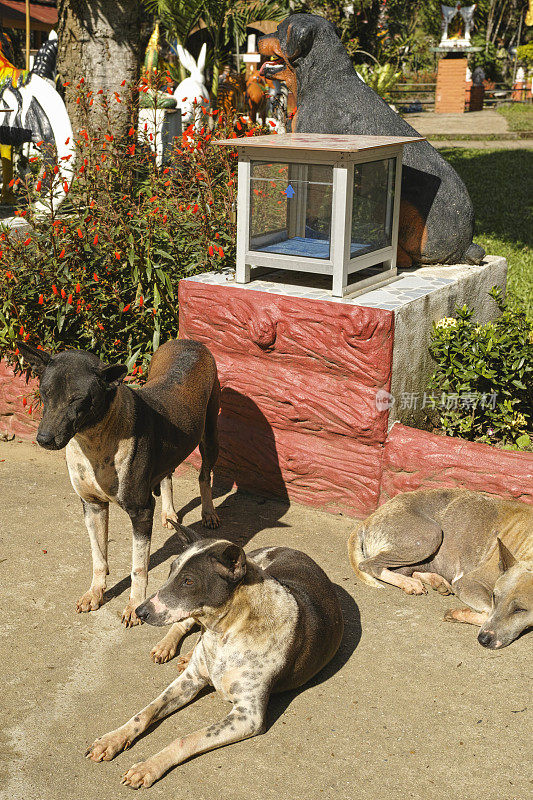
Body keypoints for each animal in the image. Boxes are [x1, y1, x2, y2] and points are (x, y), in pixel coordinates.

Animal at [83, 520, 340, 792]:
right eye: (171, 571)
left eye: (188, 581)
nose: (140, 611)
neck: (227, 631)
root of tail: (291, 548)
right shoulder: (190, 680)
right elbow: (145, 712)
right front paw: (112, 739)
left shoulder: (248, 715)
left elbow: (185, 739)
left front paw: (148, 767)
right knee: (184, 625)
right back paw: (169, 647)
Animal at [350, 488, 532, 648]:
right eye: (495, 597)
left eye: (520, 610)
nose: (484, 639)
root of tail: (369, 518)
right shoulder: (468, 583)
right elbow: (487, 612)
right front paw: (458, 614)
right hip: (430, 536)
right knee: (369, 565)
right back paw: (410, 583)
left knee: (407, 570)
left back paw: (435, 581)